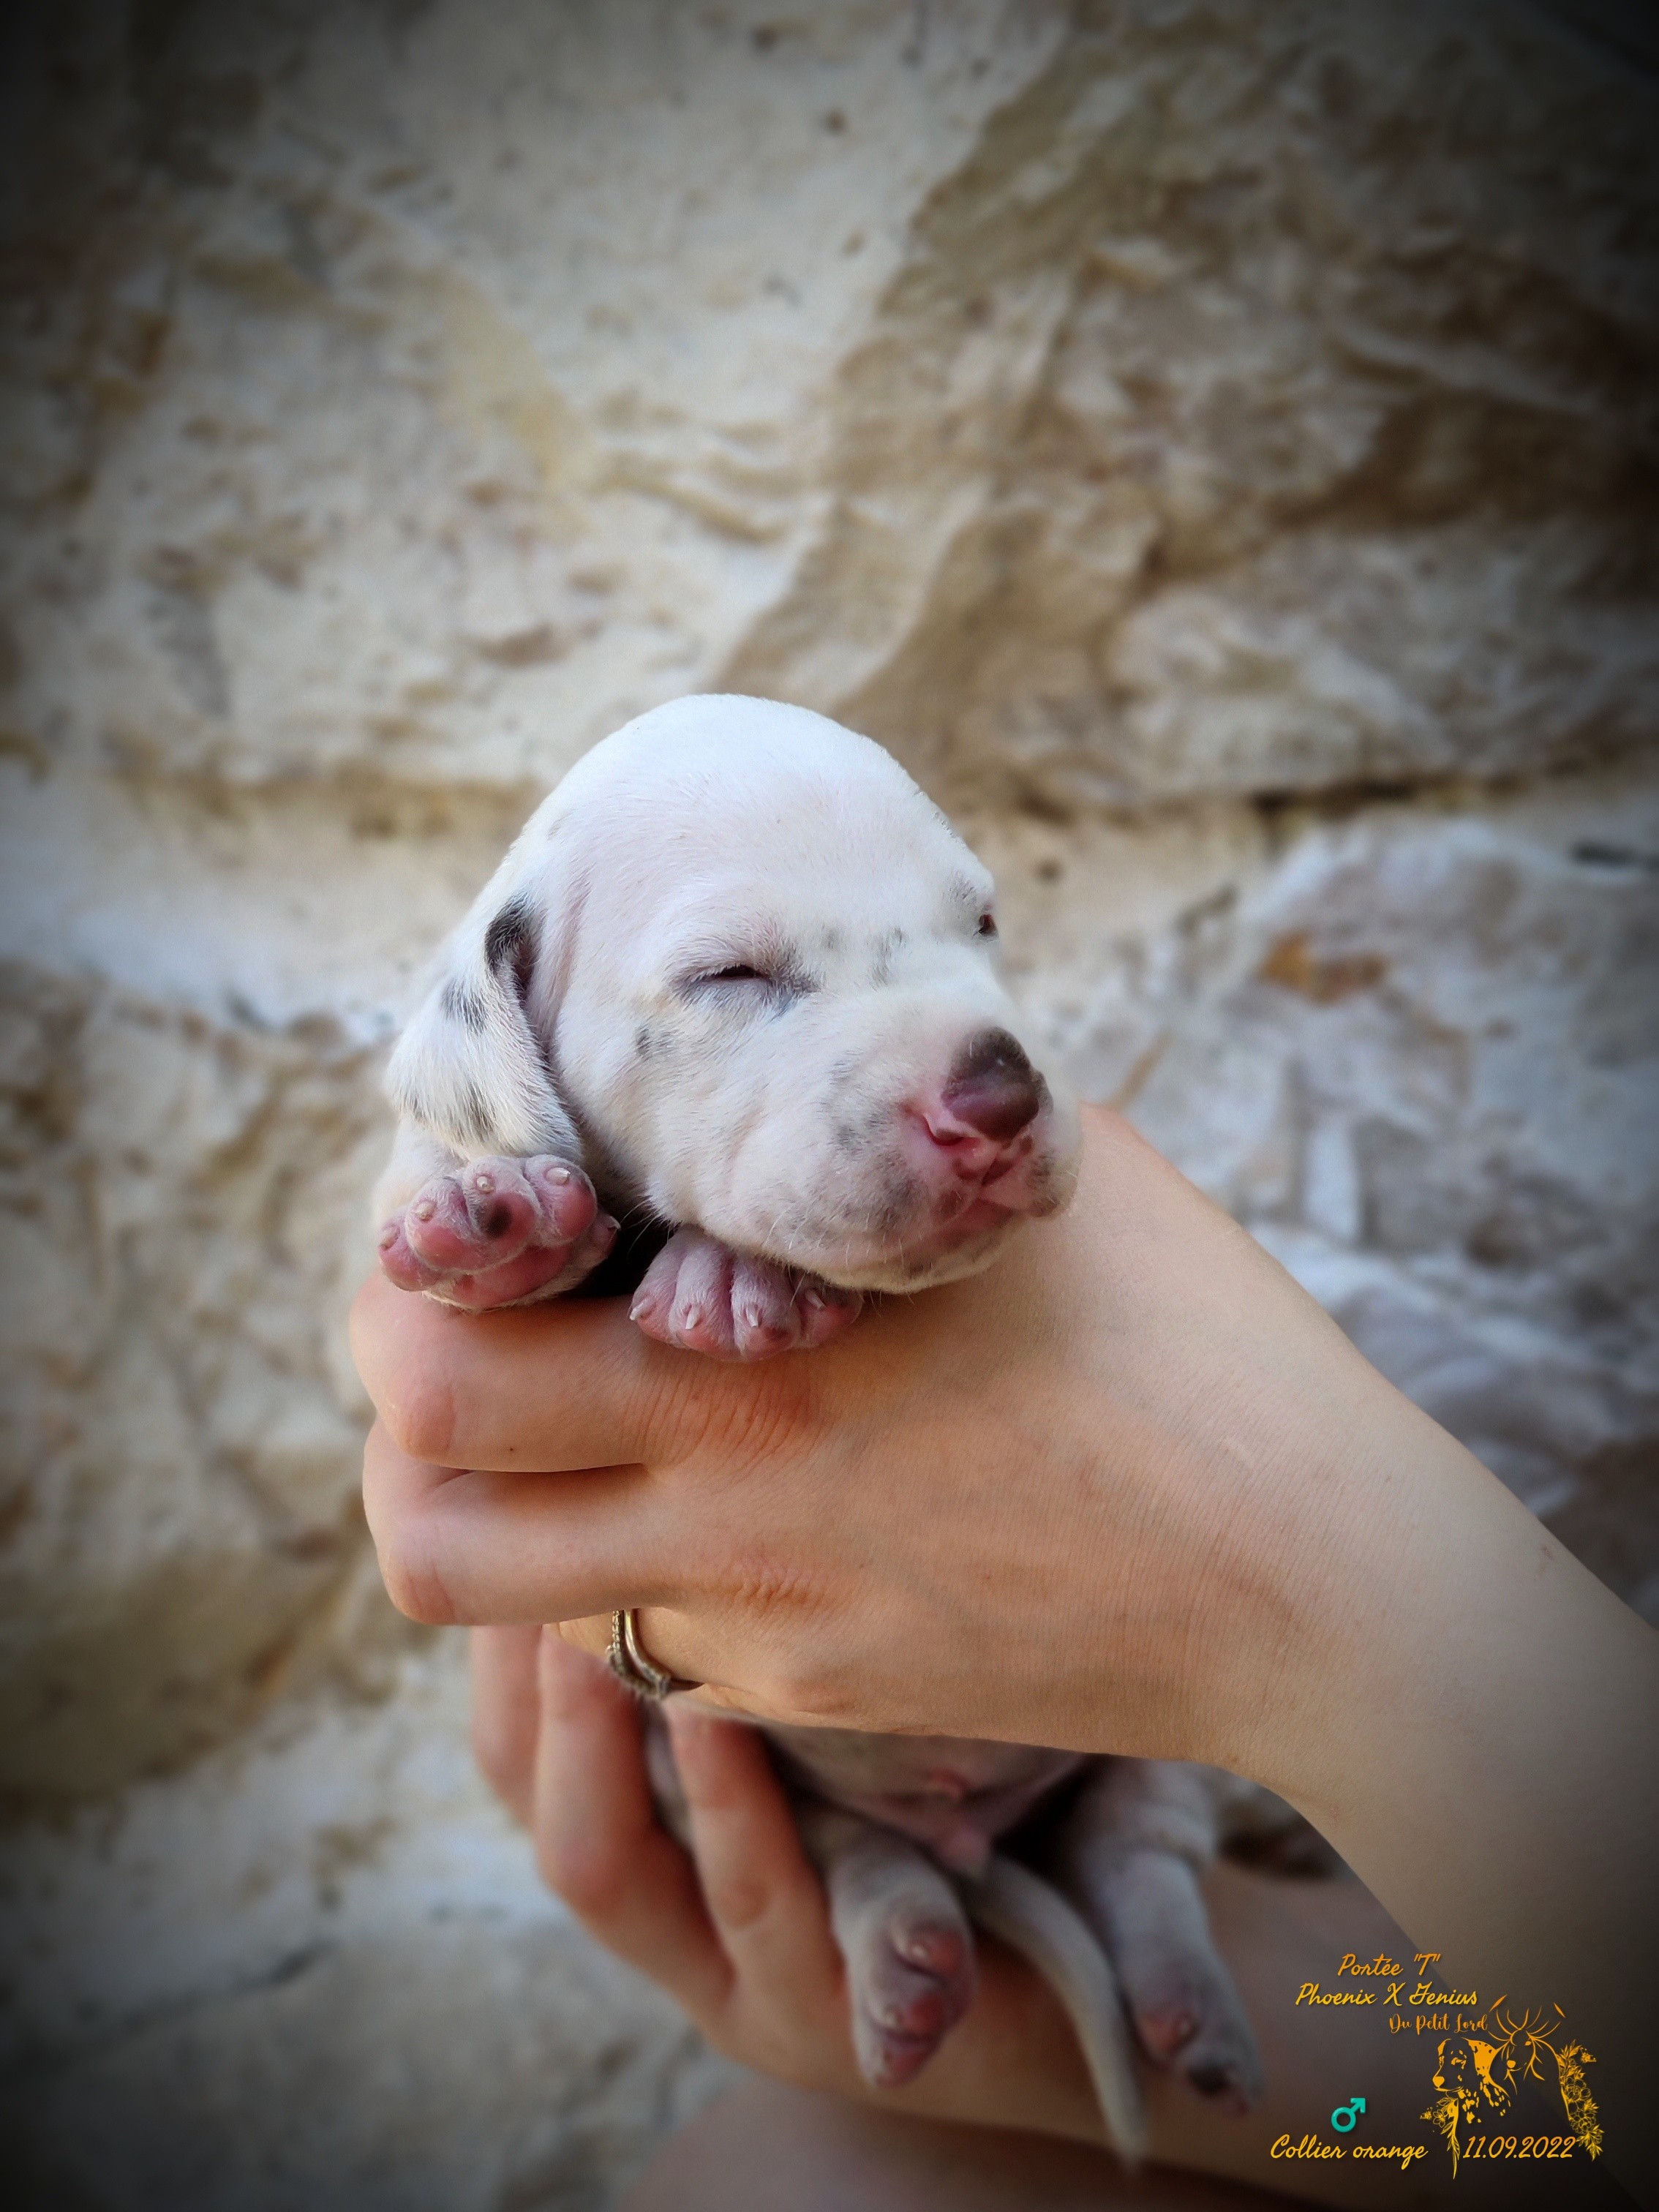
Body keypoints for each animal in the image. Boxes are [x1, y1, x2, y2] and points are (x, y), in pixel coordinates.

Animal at [376, 694, 1301, 2159]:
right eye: (729, 974)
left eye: (982, 922)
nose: (998, 1094)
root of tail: (970, 1837)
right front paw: (496, 1224)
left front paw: (728, 1275)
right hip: (721, 1771)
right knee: (856, 1853)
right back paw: (914, 1951)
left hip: (1162, 1727)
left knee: (1139, 1838)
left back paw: (1183, 2005)